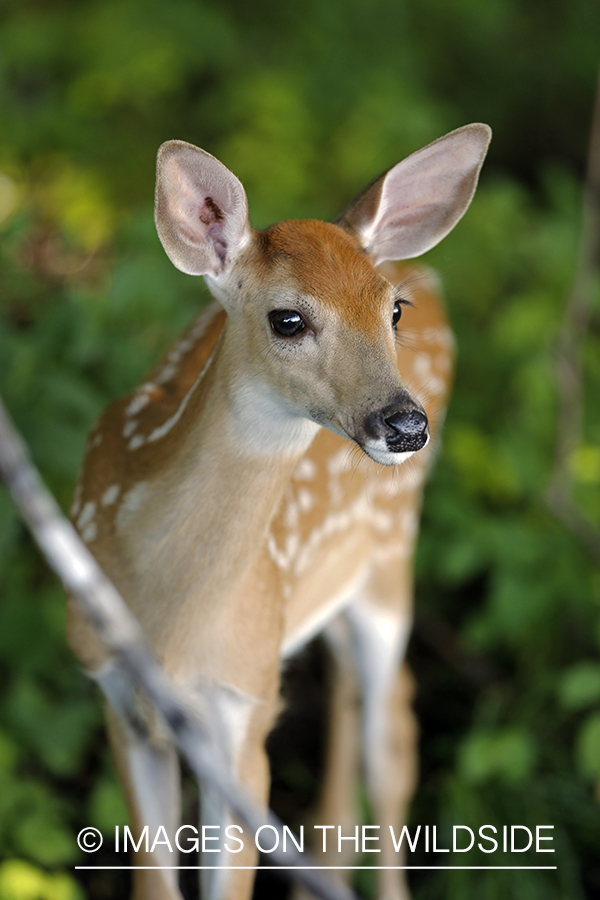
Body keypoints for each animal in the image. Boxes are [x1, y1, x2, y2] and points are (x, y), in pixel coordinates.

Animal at [67, 123, 491, 900]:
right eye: (288, 319)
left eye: (392, 311)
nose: (404, 424)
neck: (171, 624)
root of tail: (428, 271)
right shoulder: (116, 696)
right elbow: (154, 882)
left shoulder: (245, 704)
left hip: (392, 555)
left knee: (392, 736)